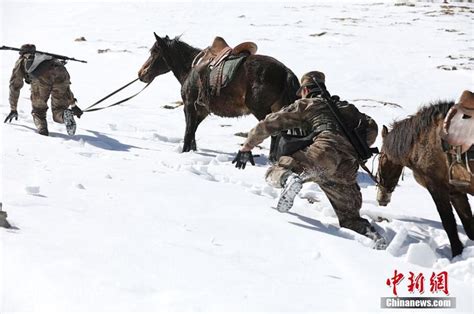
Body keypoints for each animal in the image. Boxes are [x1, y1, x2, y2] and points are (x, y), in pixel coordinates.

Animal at [138, 34, 300, 159]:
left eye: (154, 52)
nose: (141, 73)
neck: (191, 69)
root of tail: (285, 71)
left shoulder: (189, 106)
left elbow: (188, 132)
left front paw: (185, 153)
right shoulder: (201, 111)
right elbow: (193, 132)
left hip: (261, 110)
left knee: (274, 133)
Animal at [378, 100, 474, 258]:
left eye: (380, 157)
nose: (382, 198)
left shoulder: (436, 187)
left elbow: (448, 223)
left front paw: (457, 254)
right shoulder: (455, 192)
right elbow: (468, 223)